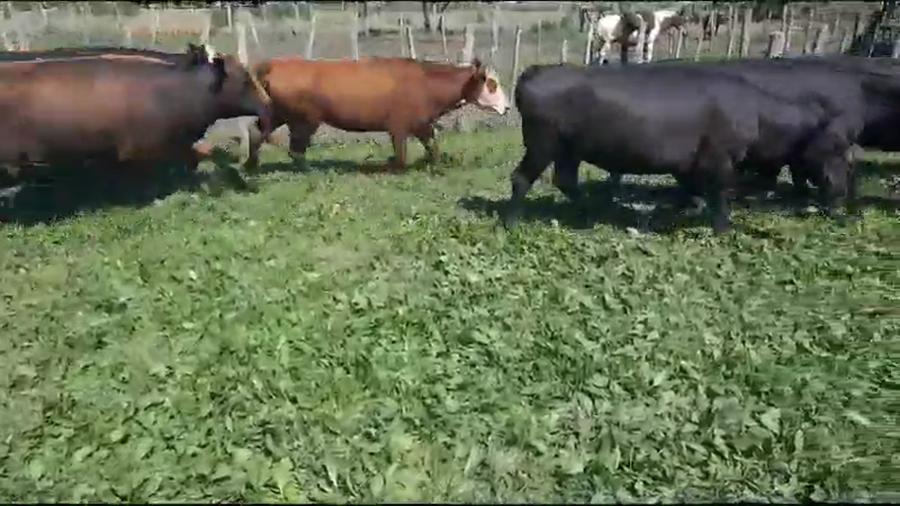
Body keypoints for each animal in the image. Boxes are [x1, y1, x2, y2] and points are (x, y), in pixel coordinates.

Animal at [244, 56, 508, 173]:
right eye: (492, 84)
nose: (507, 107)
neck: (425, 82)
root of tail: (273, 65)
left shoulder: (422, 124)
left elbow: (433, 148)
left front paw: (428, 163)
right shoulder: (399, 127)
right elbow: (400, 158)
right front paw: (388, 164)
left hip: (278, 114)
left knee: (256, 133)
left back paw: (251, 164)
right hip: (304, 120)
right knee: (294, 149)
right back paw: (307, 169)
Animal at [505, 63, 857, 235]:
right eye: (837, 146)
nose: (843, 191)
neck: (758, 114)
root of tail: (537, 71)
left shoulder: (689, 165)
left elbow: (693, 193)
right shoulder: (720, 160)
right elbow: (719, 196)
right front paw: (723, 229)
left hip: (570, 149)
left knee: (565, 181)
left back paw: (594, 213)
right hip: (542, 143)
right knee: (521, 178)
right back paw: (512, 221)